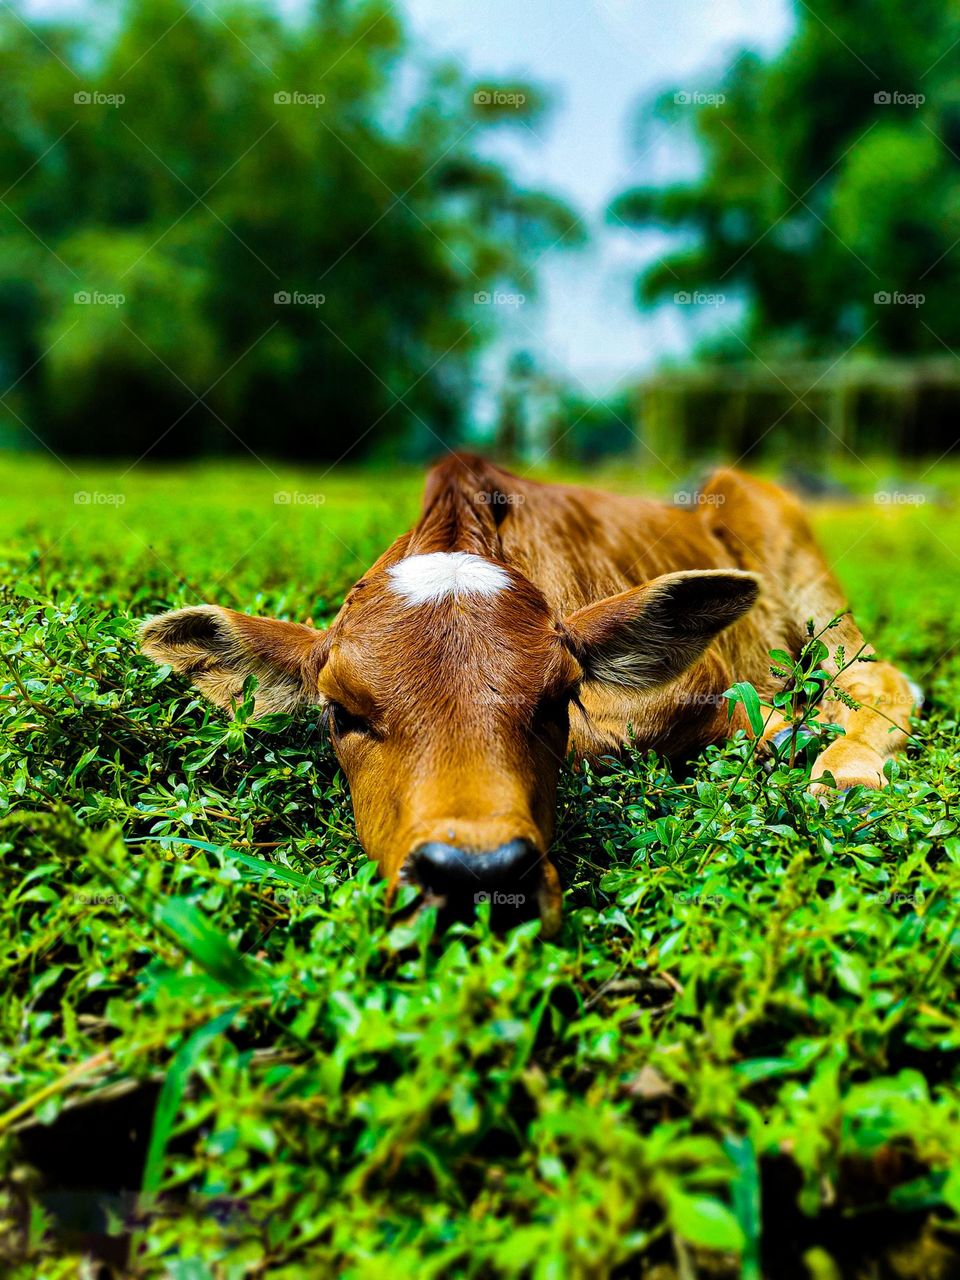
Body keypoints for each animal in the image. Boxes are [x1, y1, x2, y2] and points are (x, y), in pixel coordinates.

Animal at [140, 454, 919, 934]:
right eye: (341, 712)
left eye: (557, 700)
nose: (477, 875)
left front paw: (789, 736)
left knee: (880, 674)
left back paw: (839, 768)